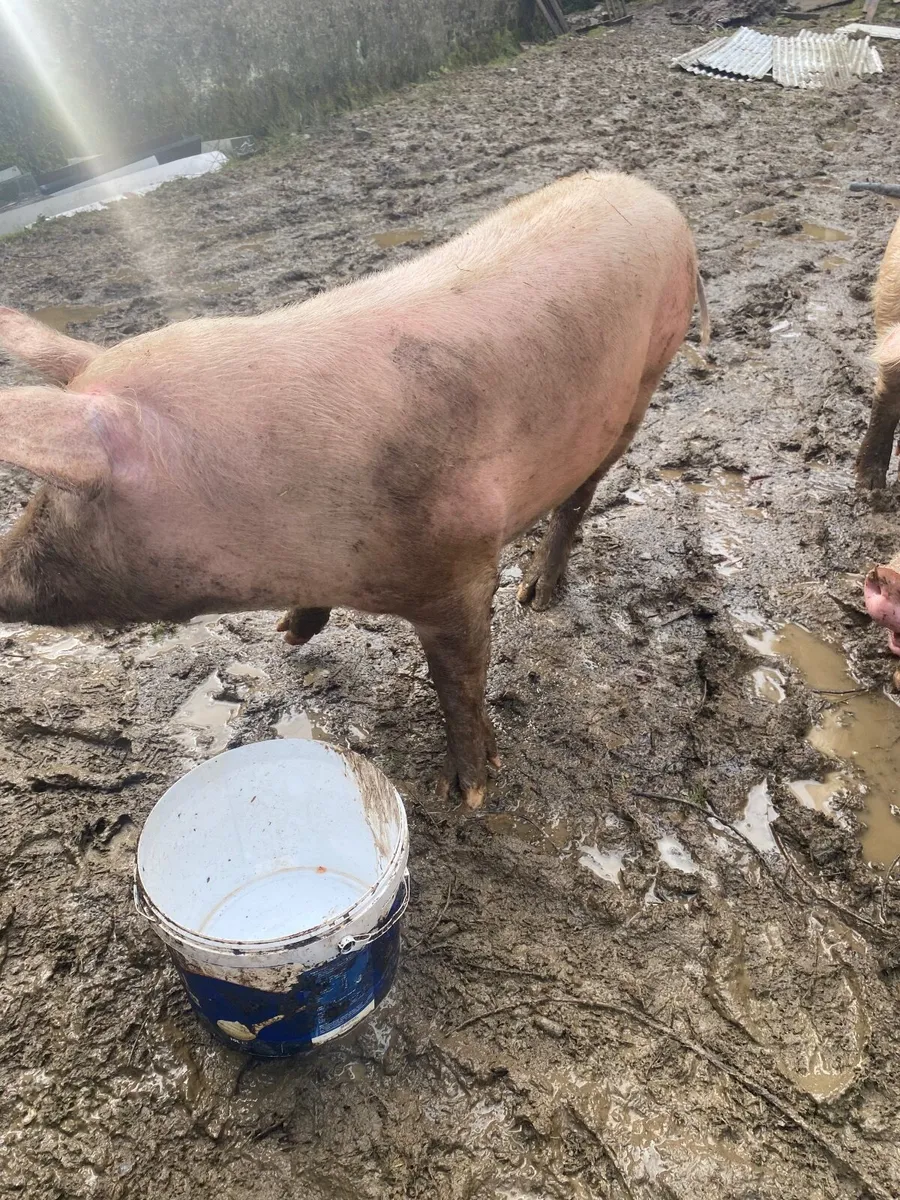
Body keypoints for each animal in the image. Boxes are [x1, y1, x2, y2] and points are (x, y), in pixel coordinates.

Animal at [0, 171, 707, 808]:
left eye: (57, 493)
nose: (2, 572)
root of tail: (657, 197)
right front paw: (287, 635)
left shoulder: (461, 563)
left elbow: (460, 679)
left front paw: (472, 791)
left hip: (644, 379)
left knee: (581, 495)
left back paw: (535, 597)